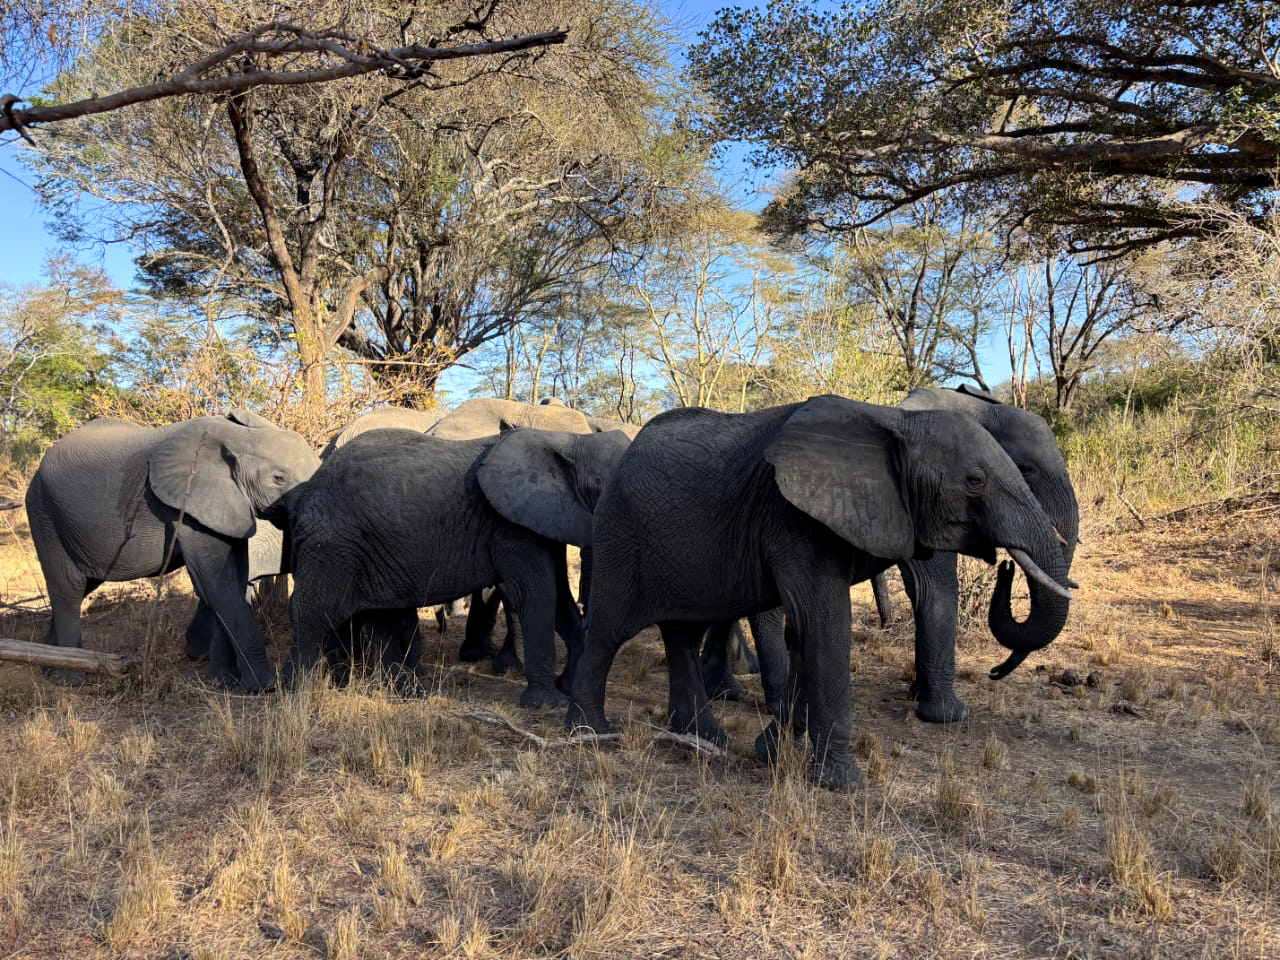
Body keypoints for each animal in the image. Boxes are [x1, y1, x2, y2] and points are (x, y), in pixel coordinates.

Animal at [24, 410, 320, 690]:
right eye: (279, 478)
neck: (240, 437)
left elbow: (231, 581)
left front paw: (222, 682)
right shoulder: (189, 506)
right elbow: (215, 583)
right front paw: (263, 686)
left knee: (84, 583)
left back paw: (44, 663)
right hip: (44, 513)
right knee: (69, 586)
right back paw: (68, 679)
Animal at [282, 426, 632, 706]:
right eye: (604, 486)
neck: (570, 440)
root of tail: (310, 489)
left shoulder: (545, 519)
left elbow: (558, 596)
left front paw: (568, 687)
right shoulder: (510, 526)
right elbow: (536, 594)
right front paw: (546, 703)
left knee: (377, 616)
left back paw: (405, 693)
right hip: (334, 545)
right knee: (313, 612)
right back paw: (296, 696)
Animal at [564, 395, 1074, 789]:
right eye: (975, 481)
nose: (1005, 565)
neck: (893, 421)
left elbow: (803, 633)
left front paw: (771, 752)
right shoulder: (795, 519)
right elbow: (825, 624)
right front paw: (841, 784)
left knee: (683, 636)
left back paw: (705, 739)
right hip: (620, 532)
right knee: (609, 631)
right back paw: (590, 735)